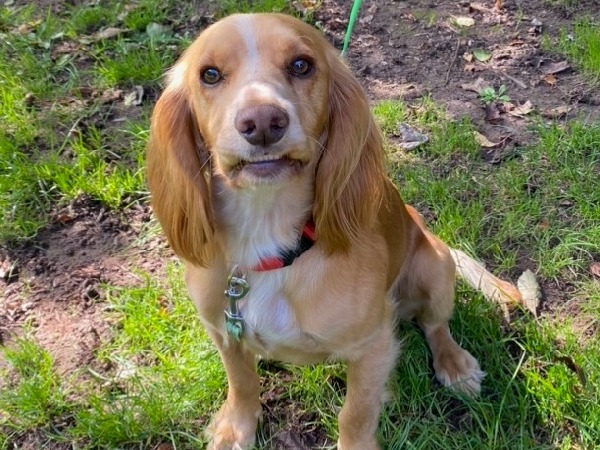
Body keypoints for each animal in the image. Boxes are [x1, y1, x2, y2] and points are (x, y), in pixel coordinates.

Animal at [145, 12, 520, 448]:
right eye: (209, 74)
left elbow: (354, 414)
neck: (269, 238)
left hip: (436, 269)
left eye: (301, 65)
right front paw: (235, 428)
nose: (262, 122)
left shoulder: (373, 344)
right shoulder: (222, 329)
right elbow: (241, 381)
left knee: (435, 324)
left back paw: (455, 364)